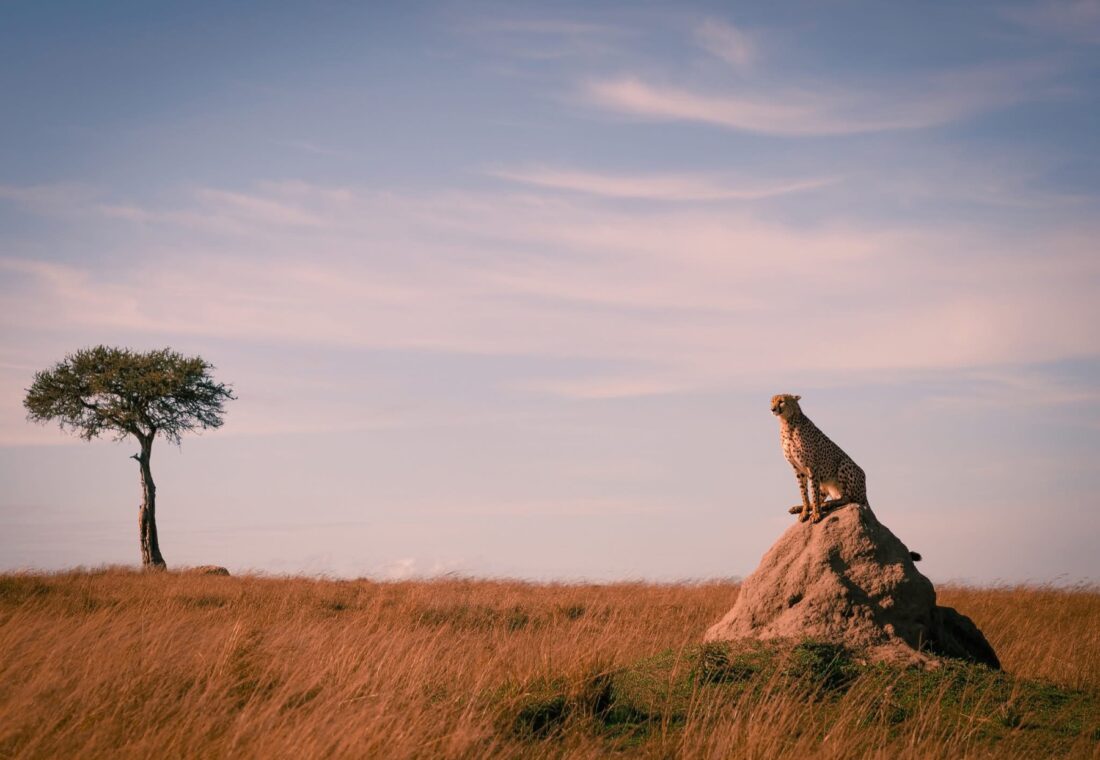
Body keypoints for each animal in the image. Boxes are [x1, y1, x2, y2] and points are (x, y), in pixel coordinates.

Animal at [770, 393, 868, 524]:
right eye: (772, 401)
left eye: (781, 401)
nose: (772, 409)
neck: (787, 422)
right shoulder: (797, 468)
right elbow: (804, 492)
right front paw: (805, 511)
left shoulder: (812, 466)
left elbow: (813, 492)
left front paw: (816, 514)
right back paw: (799, 508)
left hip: (845, 464)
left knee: (848, 499)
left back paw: (827, 504)